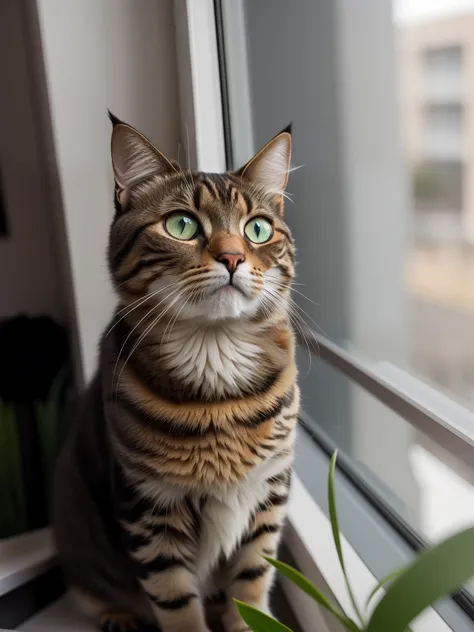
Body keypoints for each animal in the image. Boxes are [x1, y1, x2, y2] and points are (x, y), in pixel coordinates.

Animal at [52, 113, 300, 632]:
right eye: (181, 225)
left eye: (258, 229)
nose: (233, 257)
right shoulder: (149, 510)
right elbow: (175, 602)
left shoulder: (268, 495)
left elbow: (251, 584)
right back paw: (119, 617)